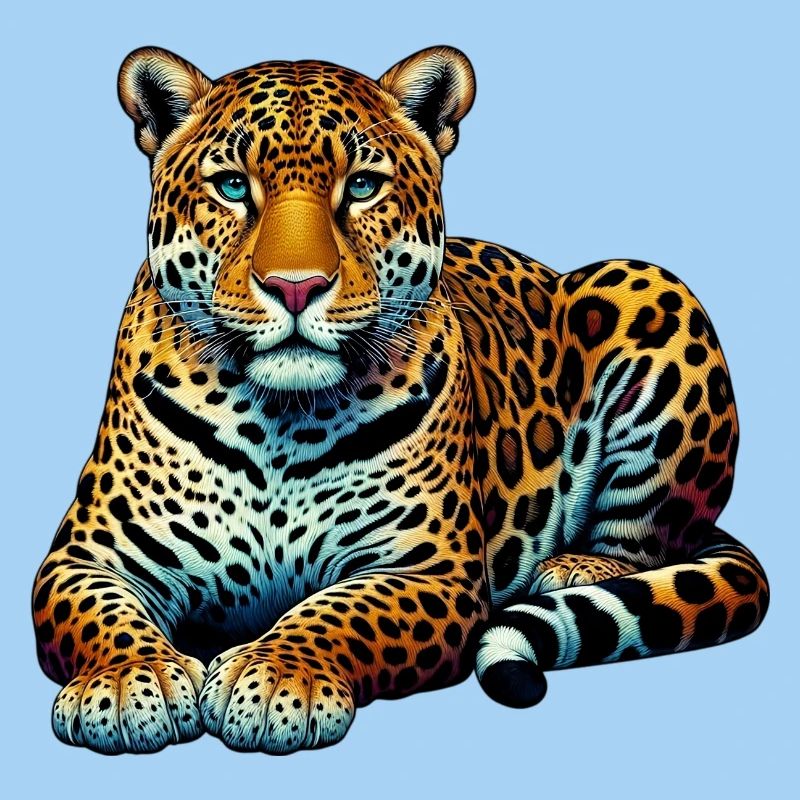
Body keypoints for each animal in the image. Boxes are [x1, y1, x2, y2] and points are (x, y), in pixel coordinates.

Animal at [32, 45, 769, 754]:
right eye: (233, 186)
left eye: (362, 186)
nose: (295, 286)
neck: (277, 420)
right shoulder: (86, 557)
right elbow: (99, 615)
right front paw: (129, 682)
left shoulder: (428, 570)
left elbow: (343, 614)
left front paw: (277, 677)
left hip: (647, 286)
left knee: (650, 536)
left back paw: (574, 568)